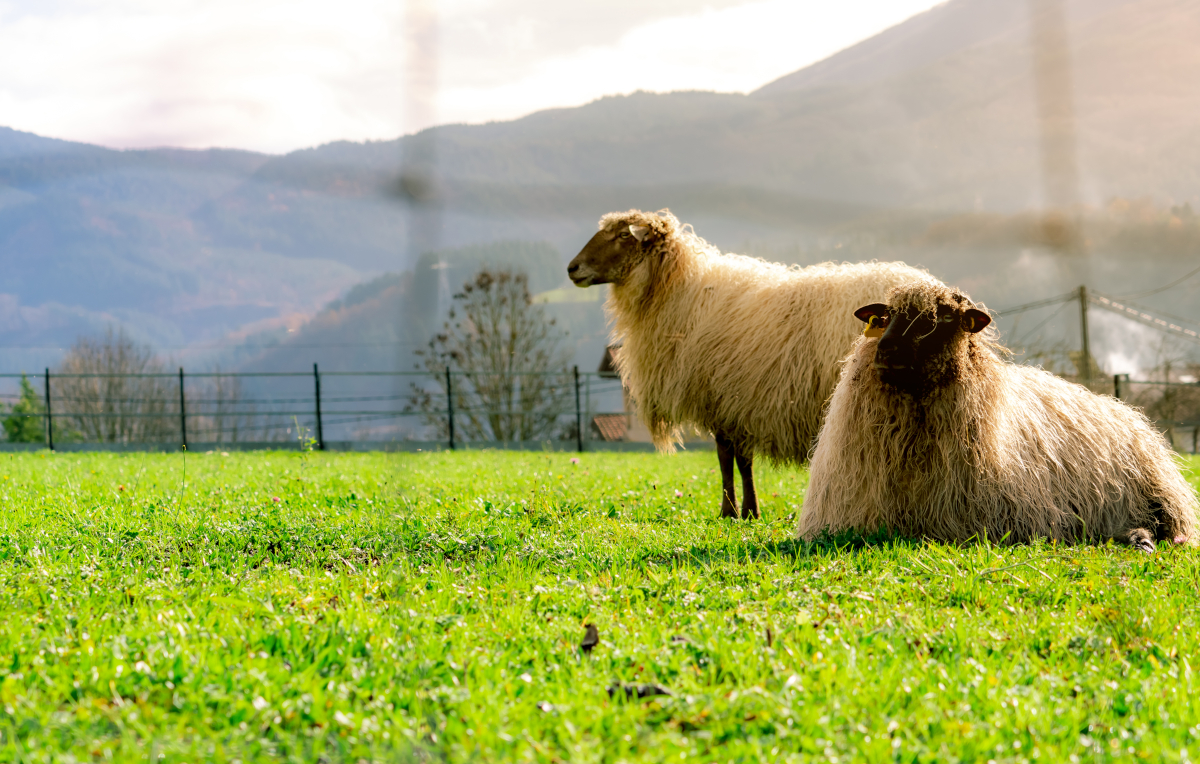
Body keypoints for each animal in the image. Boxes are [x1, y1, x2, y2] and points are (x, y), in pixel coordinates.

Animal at [566, 208, 940, 518]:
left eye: (621, 235)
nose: (572, 268)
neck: (679, 292)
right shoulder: (737, 401)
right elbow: (742, 460)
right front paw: (749, 510)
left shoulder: (723, 397)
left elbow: (726, 458)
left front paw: (730, 511)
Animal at [796, 280, 1200, 549]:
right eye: (886, 317)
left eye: (945, 317)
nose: (887, 349)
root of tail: (1125, 410)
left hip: (1158, 495)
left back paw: (1142, 540)